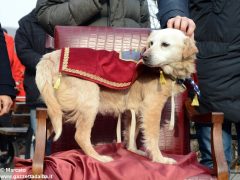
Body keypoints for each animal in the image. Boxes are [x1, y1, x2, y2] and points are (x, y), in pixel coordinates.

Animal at [35, 28, 197, 165]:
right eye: (151, 43)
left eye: (165, 44)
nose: (144, 57)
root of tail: (52, 56)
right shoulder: (151, 108)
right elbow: (153, 137)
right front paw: (160, 159)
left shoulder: (135, 111)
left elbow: (132, 133)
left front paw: (134, 151)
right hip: (89, 102)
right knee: (80, 136)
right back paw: (99, 158)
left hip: (59, 110)